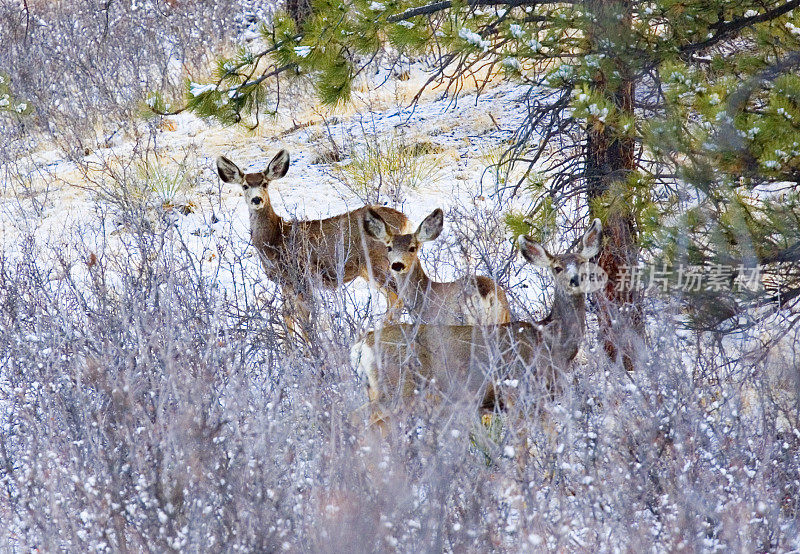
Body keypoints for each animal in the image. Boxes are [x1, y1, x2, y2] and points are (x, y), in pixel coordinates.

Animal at [216, 149, 410, 334]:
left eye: (264, 183)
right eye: (245, 185)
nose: (257, 199)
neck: (275, 239)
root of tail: (404, 219)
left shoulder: (302, 276)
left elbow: (305, 318)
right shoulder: (285, 283)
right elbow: (287, 315)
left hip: (377, 261)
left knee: (397, 296)